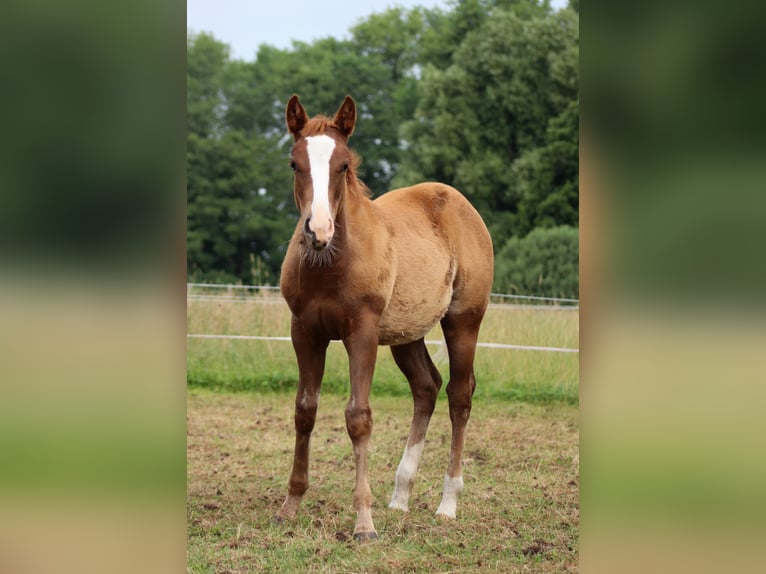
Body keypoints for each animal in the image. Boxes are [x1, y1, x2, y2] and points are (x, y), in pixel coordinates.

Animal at [275, 95, 494, 540]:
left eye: (343, 165)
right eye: (293, 163)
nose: (318, 231)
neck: (331, 263)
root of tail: (460, 203)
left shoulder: (361, 332)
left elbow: (358, 417)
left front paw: (364, 522)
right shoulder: (304, 331)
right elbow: (305, 411)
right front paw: (291, 505)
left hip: (463, 321)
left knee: (459, 395)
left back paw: (447, 503)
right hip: (406, 333)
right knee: (426, 388)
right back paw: (400, 496)